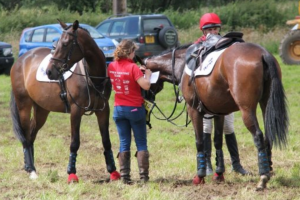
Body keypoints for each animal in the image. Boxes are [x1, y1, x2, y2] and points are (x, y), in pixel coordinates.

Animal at [10, 19, 120, 183]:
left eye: (66, 43)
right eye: (57, 44)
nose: (49, 72)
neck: (92, 76)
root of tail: (21, 60)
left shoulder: (103, 110)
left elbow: (106, 140)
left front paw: (113, 172)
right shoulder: (75, 111)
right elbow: (74, 142)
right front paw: (71, 173)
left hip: (41, 110)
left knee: (31, 133)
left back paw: (30, 167)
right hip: (24, 105)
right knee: (25, 136)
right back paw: (31, 170)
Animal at [144, 41, 290, 191]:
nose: (146, 96)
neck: (182, 64)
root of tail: (262, 53)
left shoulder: (194, 110)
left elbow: (199, 141)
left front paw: (200, 176)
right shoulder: (219, 113)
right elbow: (217, 141)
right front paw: (219, 173)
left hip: (247, 109)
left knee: (258, 136)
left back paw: (263, 177)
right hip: (266, 104)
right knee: (267, 136)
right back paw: (268, 169)